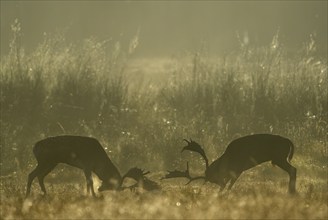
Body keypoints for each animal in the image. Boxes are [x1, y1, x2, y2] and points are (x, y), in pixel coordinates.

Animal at [164, 134, 298, 194]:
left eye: (214, 178)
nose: (219, 187)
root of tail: (289, 141)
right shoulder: (237, 170)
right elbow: (230, 182)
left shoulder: (238, 168)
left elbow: (230, 183)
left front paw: (224, 193)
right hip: (280, 158)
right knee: (293, 169)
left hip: (279, 158)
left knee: (293, 169)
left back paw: (291, 192)